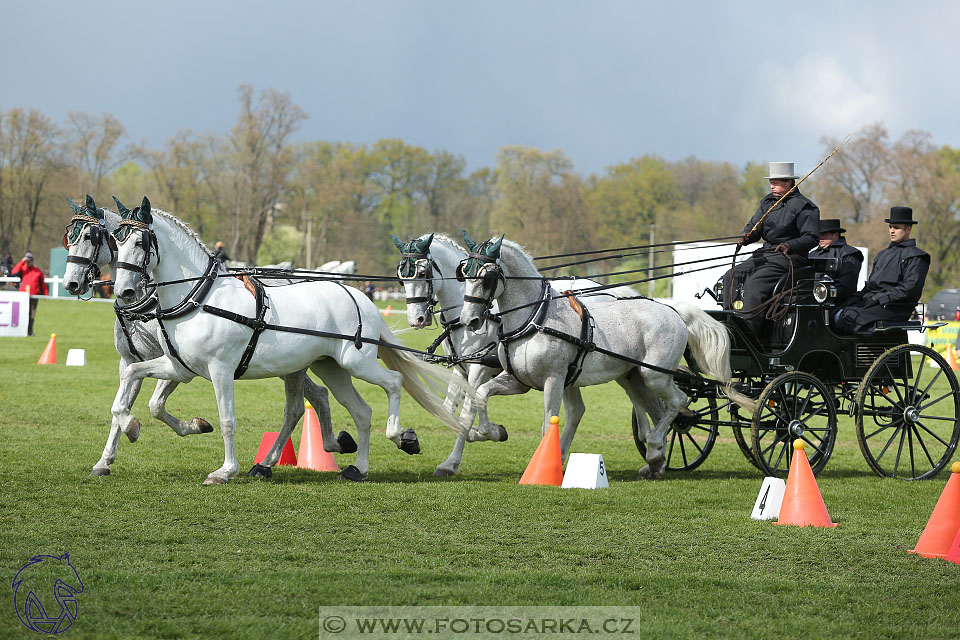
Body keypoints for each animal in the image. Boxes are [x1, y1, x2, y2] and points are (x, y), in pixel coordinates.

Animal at [58, 198, 340, 478]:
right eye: (69, 238)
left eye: (90, 236)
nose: (70, 284)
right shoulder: (129, 361)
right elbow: (119, 407)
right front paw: (105, 459)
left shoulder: (178, 364)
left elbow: (155, 405)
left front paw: (194, 426)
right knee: (314, 397)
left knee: (305, 401)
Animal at [109, 198, 472, 482]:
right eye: (116, 242)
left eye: (140, 243)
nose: (124, 292)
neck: (199, 297)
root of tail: (358, 295)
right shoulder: (180, 368)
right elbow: (135, 383)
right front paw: (131, 424)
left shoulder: (220, 371)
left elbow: (227, 420)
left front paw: (225, 471)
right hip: (330, 369)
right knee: (360, 411)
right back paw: (357, 468)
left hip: (357, 363)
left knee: (393, 382)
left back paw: (399, 436)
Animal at [386, 234, 640, 476]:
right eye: (401, 277)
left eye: (423, 272)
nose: (417, 319)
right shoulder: (461, 370)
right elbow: (449, 410)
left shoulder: (479, 369)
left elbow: (467, 414)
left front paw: (455, 459)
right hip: (571, 373)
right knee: (577, 410)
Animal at [458, 232, 752, 478]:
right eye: (465, 273)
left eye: (486, 278)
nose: (469, 320)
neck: (536, 318)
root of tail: (671, 309)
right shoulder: (518, 381)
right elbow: (482, 393)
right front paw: (492, 432)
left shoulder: (553, 380)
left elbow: (547, 424)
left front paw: (543, 467)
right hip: (633, 377)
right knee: (659, 411)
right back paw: (656, 460)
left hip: (654, 375)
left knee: (677, 402)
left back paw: (654, 448)